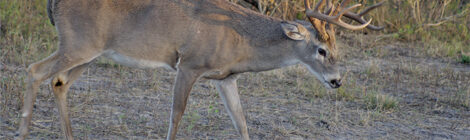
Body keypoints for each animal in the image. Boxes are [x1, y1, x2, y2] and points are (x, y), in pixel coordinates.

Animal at [18, 0, 384, 139]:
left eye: (337, 49)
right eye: (321, 50)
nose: (337, 81)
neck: (240, 40)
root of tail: (53, 4)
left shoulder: (227, 78)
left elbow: (242, 123)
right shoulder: (189, 64)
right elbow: (177, 115)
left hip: (90, 54)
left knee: (58, 82)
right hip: (78, 44)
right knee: (35, 70)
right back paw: (23, 132)